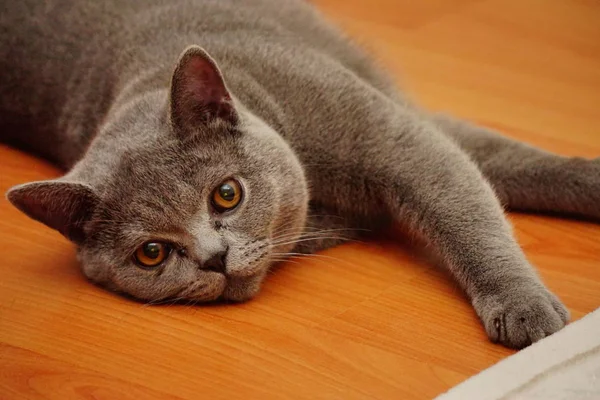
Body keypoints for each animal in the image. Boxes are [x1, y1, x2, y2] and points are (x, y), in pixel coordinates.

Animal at [2, 0, 596, 350]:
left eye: (227, 195)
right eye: (151, 253)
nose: (214, 258)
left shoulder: (394, 136)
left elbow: (473, 205)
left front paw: (524, 308)